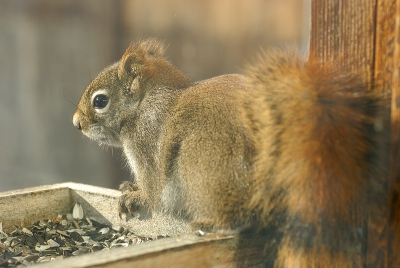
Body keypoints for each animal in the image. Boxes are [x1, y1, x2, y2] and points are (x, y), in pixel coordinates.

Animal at [72, 38, 390, 266]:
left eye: (100, 101)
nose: (76, 123)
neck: (144, 104)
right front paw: (129, 186)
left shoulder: (147, 144)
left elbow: (154, 191)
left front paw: (134, 196)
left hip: (200, 162)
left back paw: (209, 224)